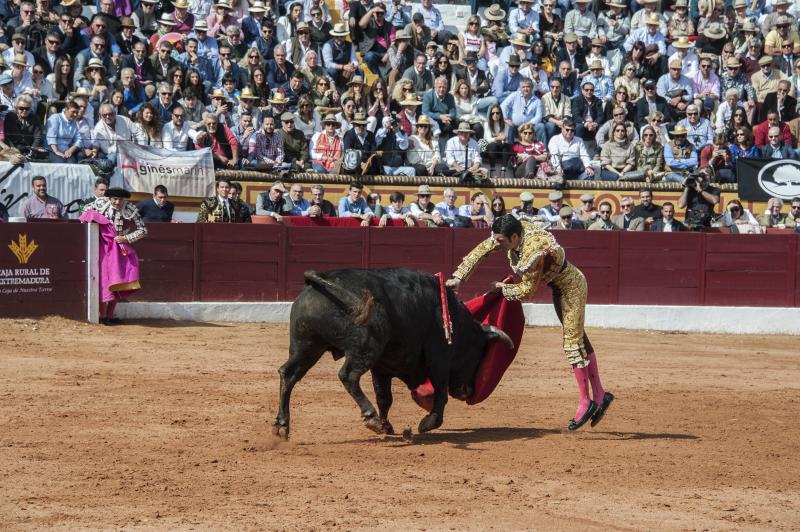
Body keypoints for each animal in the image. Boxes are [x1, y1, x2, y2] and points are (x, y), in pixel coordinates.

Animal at [274, 268, 512, 438]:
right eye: (478, 354)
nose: (468, 392)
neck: (455, 321)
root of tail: (319, 280)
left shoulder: (382, 367)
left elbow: (384, 397)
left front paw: (387, 425)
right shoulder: (439, 358)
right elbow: (440, 393)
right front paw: (427, 423)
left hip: (307, 345)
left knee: (288, 374)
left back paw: (281, 425)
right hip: (365, 346)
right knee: (348, 375)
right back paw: (371, 418)